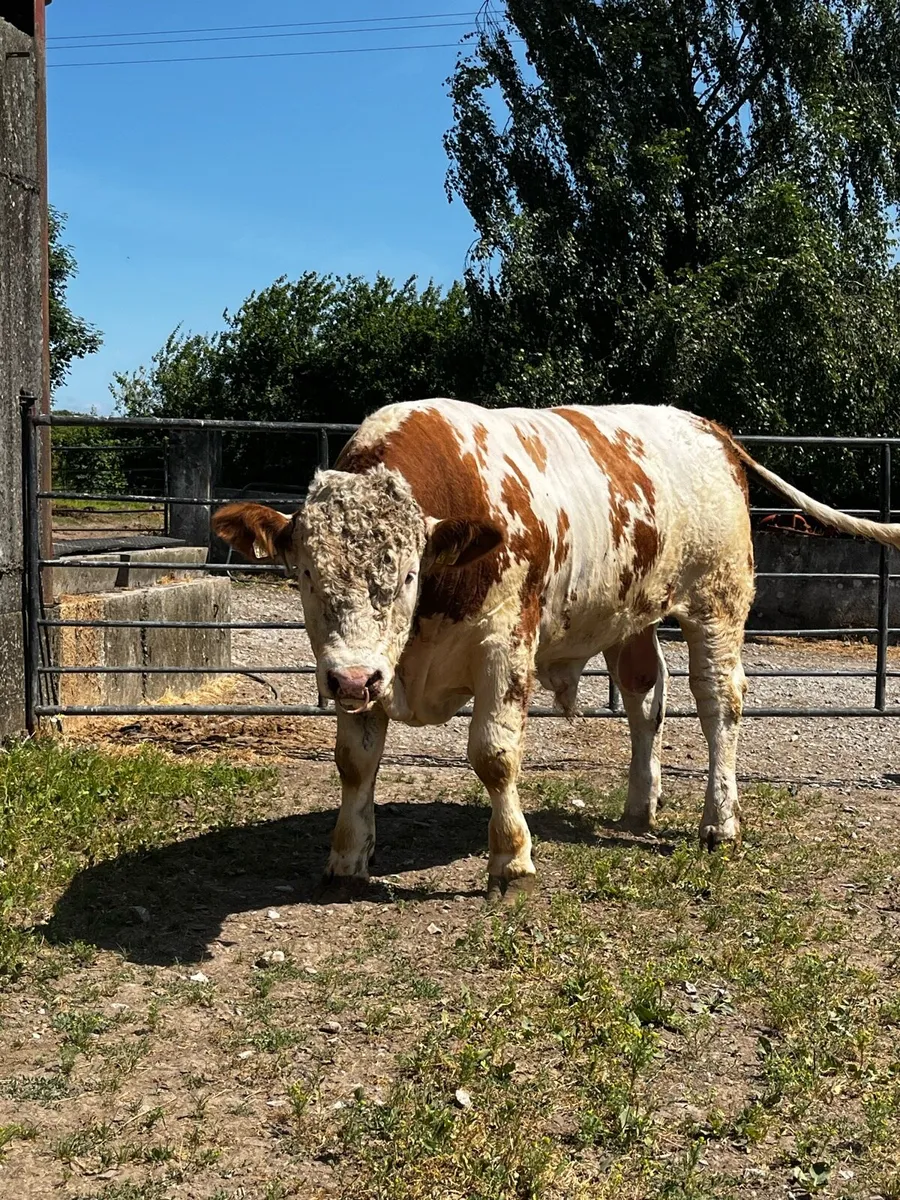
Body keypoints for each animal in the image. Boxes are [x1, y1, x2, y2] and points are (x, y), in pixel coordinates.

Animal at [213, 399, 900, 902]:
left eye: (407, 576)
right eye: (305, 573)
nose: (353, 681)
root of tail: (710, 429)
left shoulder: (505, 647)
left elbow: (494, 756)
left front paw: (511, 860)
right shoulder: (368, 667)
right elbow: (355, 762)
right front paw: (348, 856)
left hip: (718, 598)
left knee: (718, 705)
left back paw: (718, 822)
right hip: (630, 615)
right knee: (644, 701)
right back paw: (638, 807)